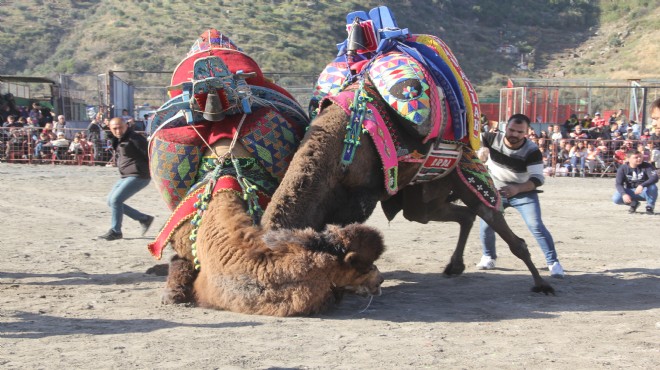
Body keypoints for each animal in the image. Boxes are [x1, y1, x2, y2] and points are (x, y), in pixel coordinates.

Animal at [260, 102, 556, 294]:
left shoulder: (359, 200)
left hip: (464, 174)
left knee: (494, 219)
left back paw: (542, 284)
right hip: (423, 199)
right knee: (463, 215)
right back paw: (454, 266)